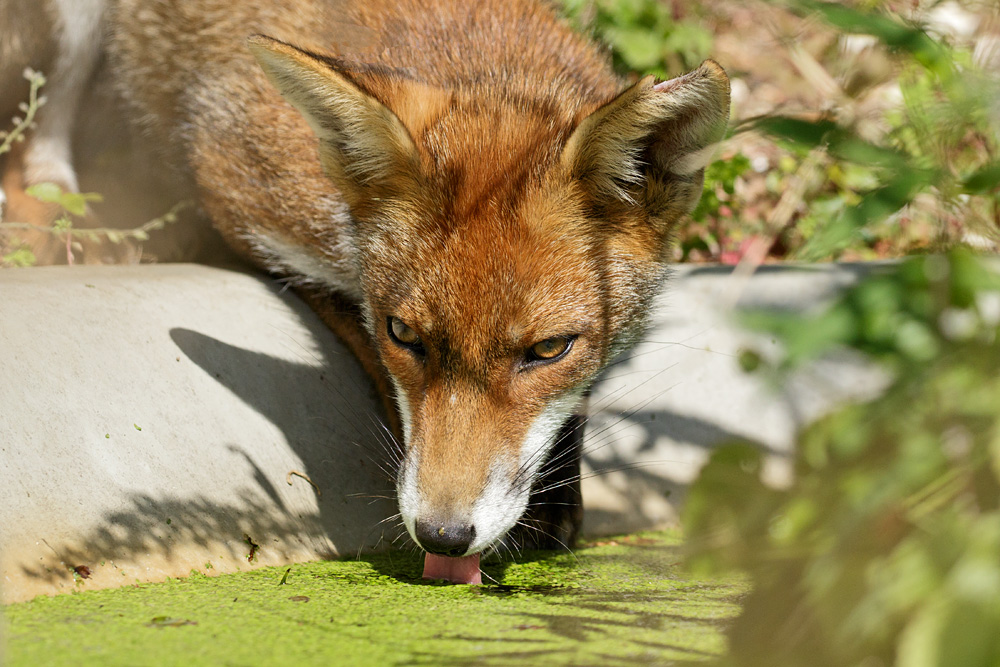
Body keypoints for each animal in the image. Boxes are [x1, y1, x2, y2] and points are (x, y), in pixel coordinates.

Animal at [1, 0, 730, 584]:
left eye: (550, 349)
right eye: (401, 334)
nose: (444, 535)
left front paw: (555, 492)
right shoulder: (241, 189)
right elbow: (344, 307)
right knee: (31, 150)